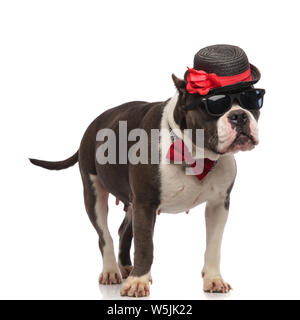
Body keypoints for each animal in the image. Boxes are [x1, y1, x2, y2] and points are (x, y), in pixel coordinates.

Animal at [30, 43, 264, 296]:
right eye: (214, 103)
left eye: (253, 100)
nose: (239, 115)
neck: (196, 154)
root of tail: (93, 123)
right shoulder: (145, 203)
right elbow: (144, 245)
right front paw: (138, 281)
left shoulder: (218, 204)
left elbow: (213, 244)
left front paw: (213, 279)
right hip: (94, 193)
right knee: (105, 235)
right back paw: (112, 270)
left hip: (132, 204)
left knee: (123, 231)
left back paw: (125, 267)